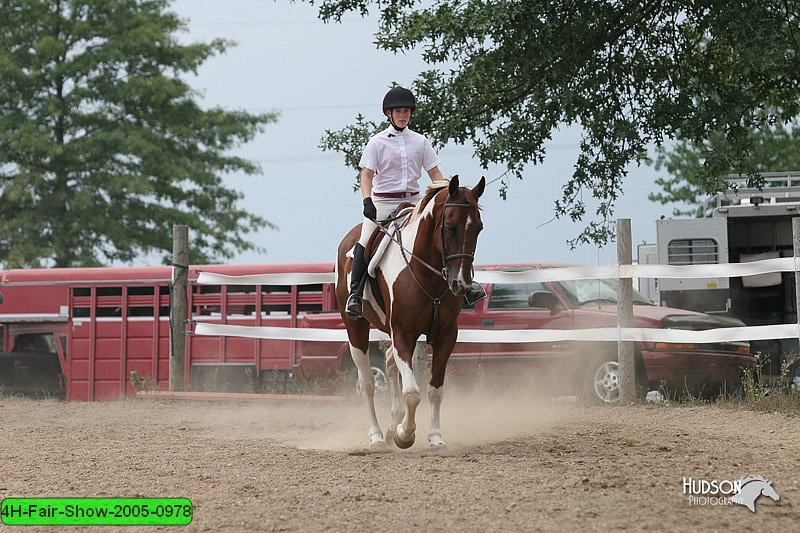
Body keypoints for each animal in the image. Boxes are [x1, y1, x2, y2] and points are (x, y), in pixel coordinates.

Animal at [334, 175, 484, 448]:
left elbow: (435, 390)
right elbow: (412, 392)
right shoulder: (404, 333)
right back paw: (377, 436)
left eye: (478, 228)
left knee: (389, 362)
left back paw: (392, 424)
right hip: (356, 329)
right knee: (367, 383)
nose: (461, 284)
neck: (425, 272)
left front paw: (435, 437)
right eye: (451, 227)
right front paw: (405, 435)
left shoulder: (446, 335)